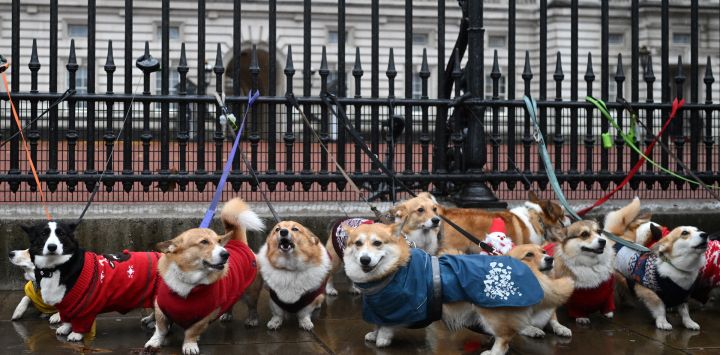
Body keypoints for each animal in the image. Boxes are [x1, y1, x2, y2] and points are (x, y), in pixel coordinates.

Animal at [143, 199, 264, 355]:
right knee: (230, 302)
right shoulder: (160, 309)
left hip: (250, 293)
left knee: (252, 306)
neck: (188, 281)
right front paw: (154, 341)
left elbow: (192, 331)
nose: (226, 254)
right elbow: (161, 328)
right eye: (204, 242)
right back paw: (227, 314)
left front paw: (189, 345)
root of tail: (239, 242)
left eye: (219, 242)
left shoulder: (204, 316)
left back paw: (252, 320)